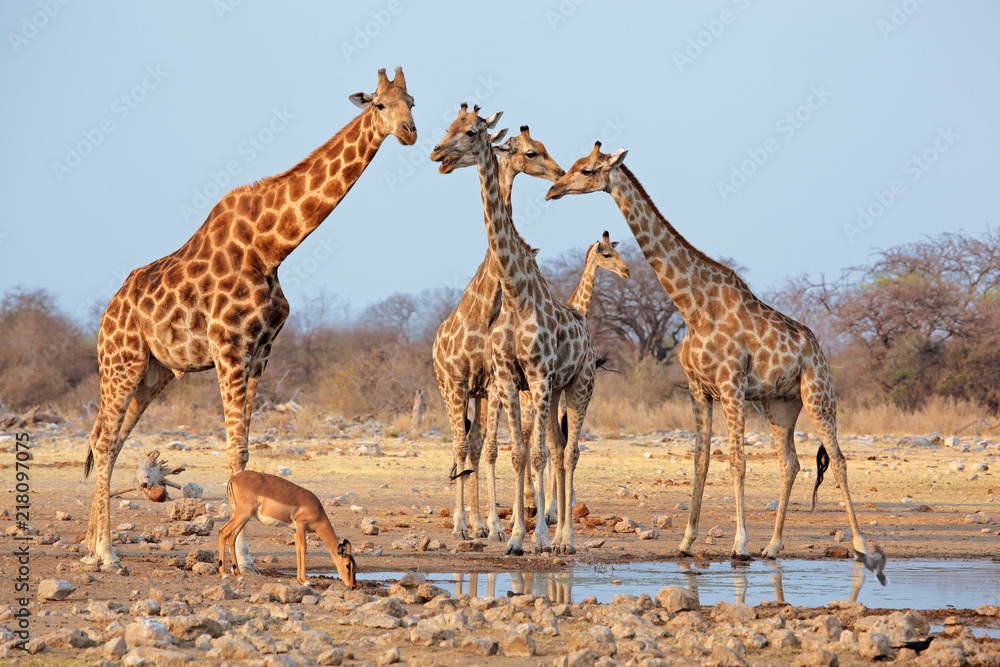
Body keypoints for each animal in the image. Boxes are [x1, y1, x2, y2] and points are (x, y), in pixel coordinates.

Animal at [82, 67, 416, 571]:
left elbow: (246, 448)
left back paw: (90, 547)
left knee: (110, 439)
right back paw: (107, 554)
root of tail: (107, 314)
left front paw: (247, 558)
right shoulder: (230, 349)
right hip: (121, 363)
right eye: (379, 104)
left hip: (152, 374)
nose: (410, 132)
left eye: (412, 101)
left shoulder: (261, 353)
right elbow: (235, 449)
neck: (272, 246)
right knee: (103, 442)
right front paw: (242, 558)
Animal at [432, 106, 597, 556]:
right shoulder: (505, 378)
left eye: (471, 131)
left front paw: (534, 536)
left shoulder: (534, 377)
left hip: (577, 385)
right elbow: (515, 454)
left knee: (568, 452)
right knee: (499, 446)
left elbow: (534, 455)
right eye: (449, 127)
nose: (438, 154)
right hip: (468, 387)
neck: (513, 292)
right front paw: (513, 536)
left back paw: (564, 539)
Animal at [545, 143, 870, 561]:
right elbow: (700, 461)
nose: (552, 190)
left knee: (840, 460)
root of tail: (819, 351)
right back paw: (773, 545)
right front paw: (687, 540)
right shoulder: (699, 389)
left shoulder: (732, 387)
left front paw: (739, 542)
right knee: (790, 464)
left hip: (818, 396)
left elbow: (736, 461)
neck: (693, 305)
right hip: (780, 404)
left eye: (586, 170)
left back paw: (858, 543)